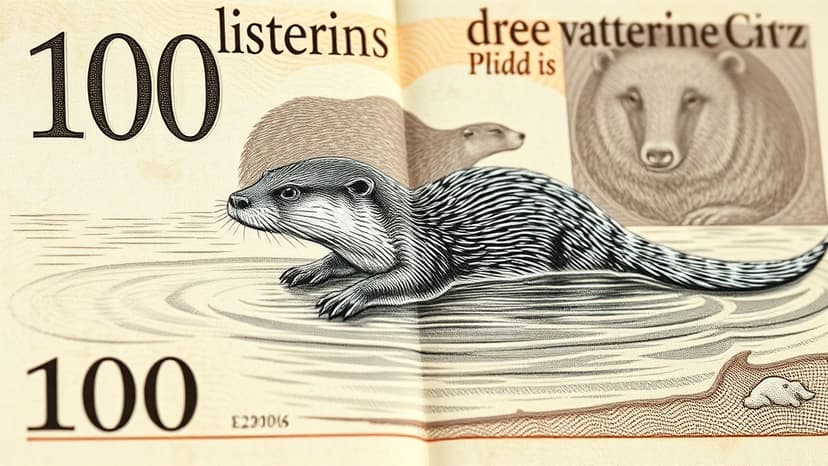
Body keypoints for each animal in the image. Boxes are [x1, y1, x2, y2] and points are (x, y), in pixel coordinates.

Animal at [227, 157, 827, 319]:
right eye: (265, 176)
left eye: (287, 191)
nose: (236, 199)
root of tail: (600, 218)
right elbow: (339, 260)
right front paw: (312, 269)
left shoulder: (427, 251)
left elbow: (415, 279)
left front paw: (349, 295)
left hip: (571, 244)